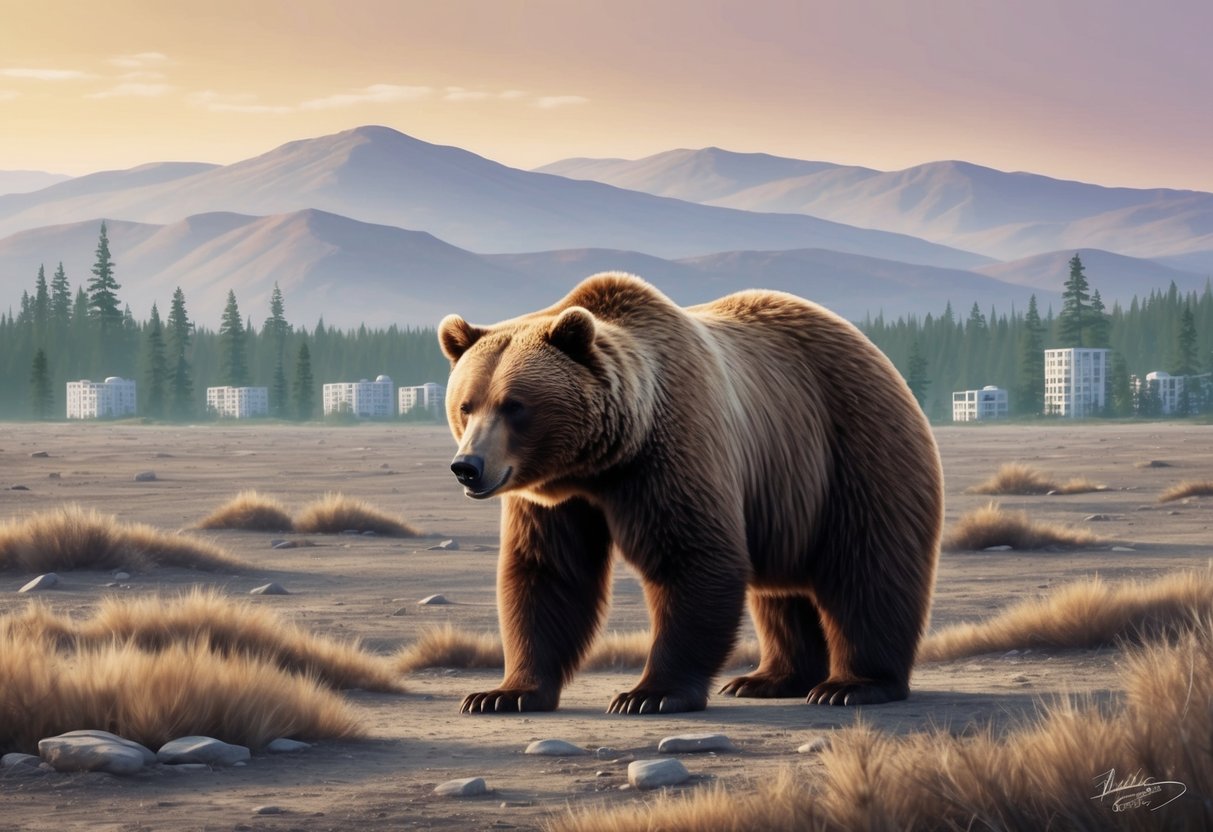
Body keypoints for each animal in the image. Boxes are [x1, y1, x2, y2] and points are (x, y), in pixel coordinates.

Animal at [441, 274, 941, 717]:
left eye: (514, 405)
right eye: (466, 405)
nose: (467, 467)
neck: (601, 464)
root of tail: (873, 349)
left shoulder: (672, 452)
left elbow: (692, 558)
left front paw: (648, 694)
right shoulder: (553, 502)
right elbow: (547, 574)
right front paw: (501, 694)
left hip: (853, 450)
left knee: (868, 567)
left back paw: (852, 685)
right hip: (787, 494)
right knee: (782, 594)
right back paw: (769, 678)